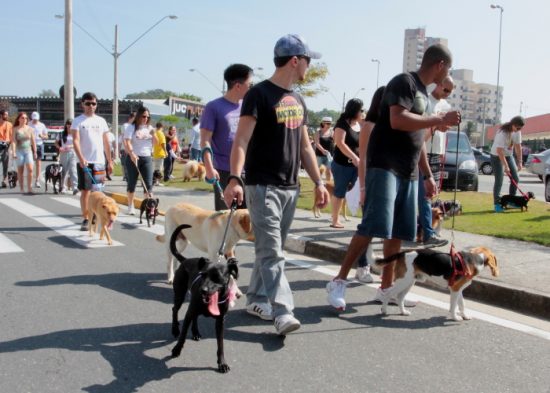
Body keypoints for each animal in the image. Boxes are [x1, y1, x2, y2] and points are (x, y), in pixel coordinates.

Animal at [168, 222, 237, 372]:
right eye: (202, 275)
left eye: (217, 277)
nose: (203, 290)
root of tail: (185, 260)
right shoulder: (188, 314)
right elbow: (183, 335)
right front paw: (176, 350)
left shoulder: (220, 321)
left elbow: (220, 344)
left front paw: (222, 363)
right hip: (180, 294)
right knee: (175, 309)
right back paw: (175, 329)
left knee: (195, 317)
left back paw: (195, 332)